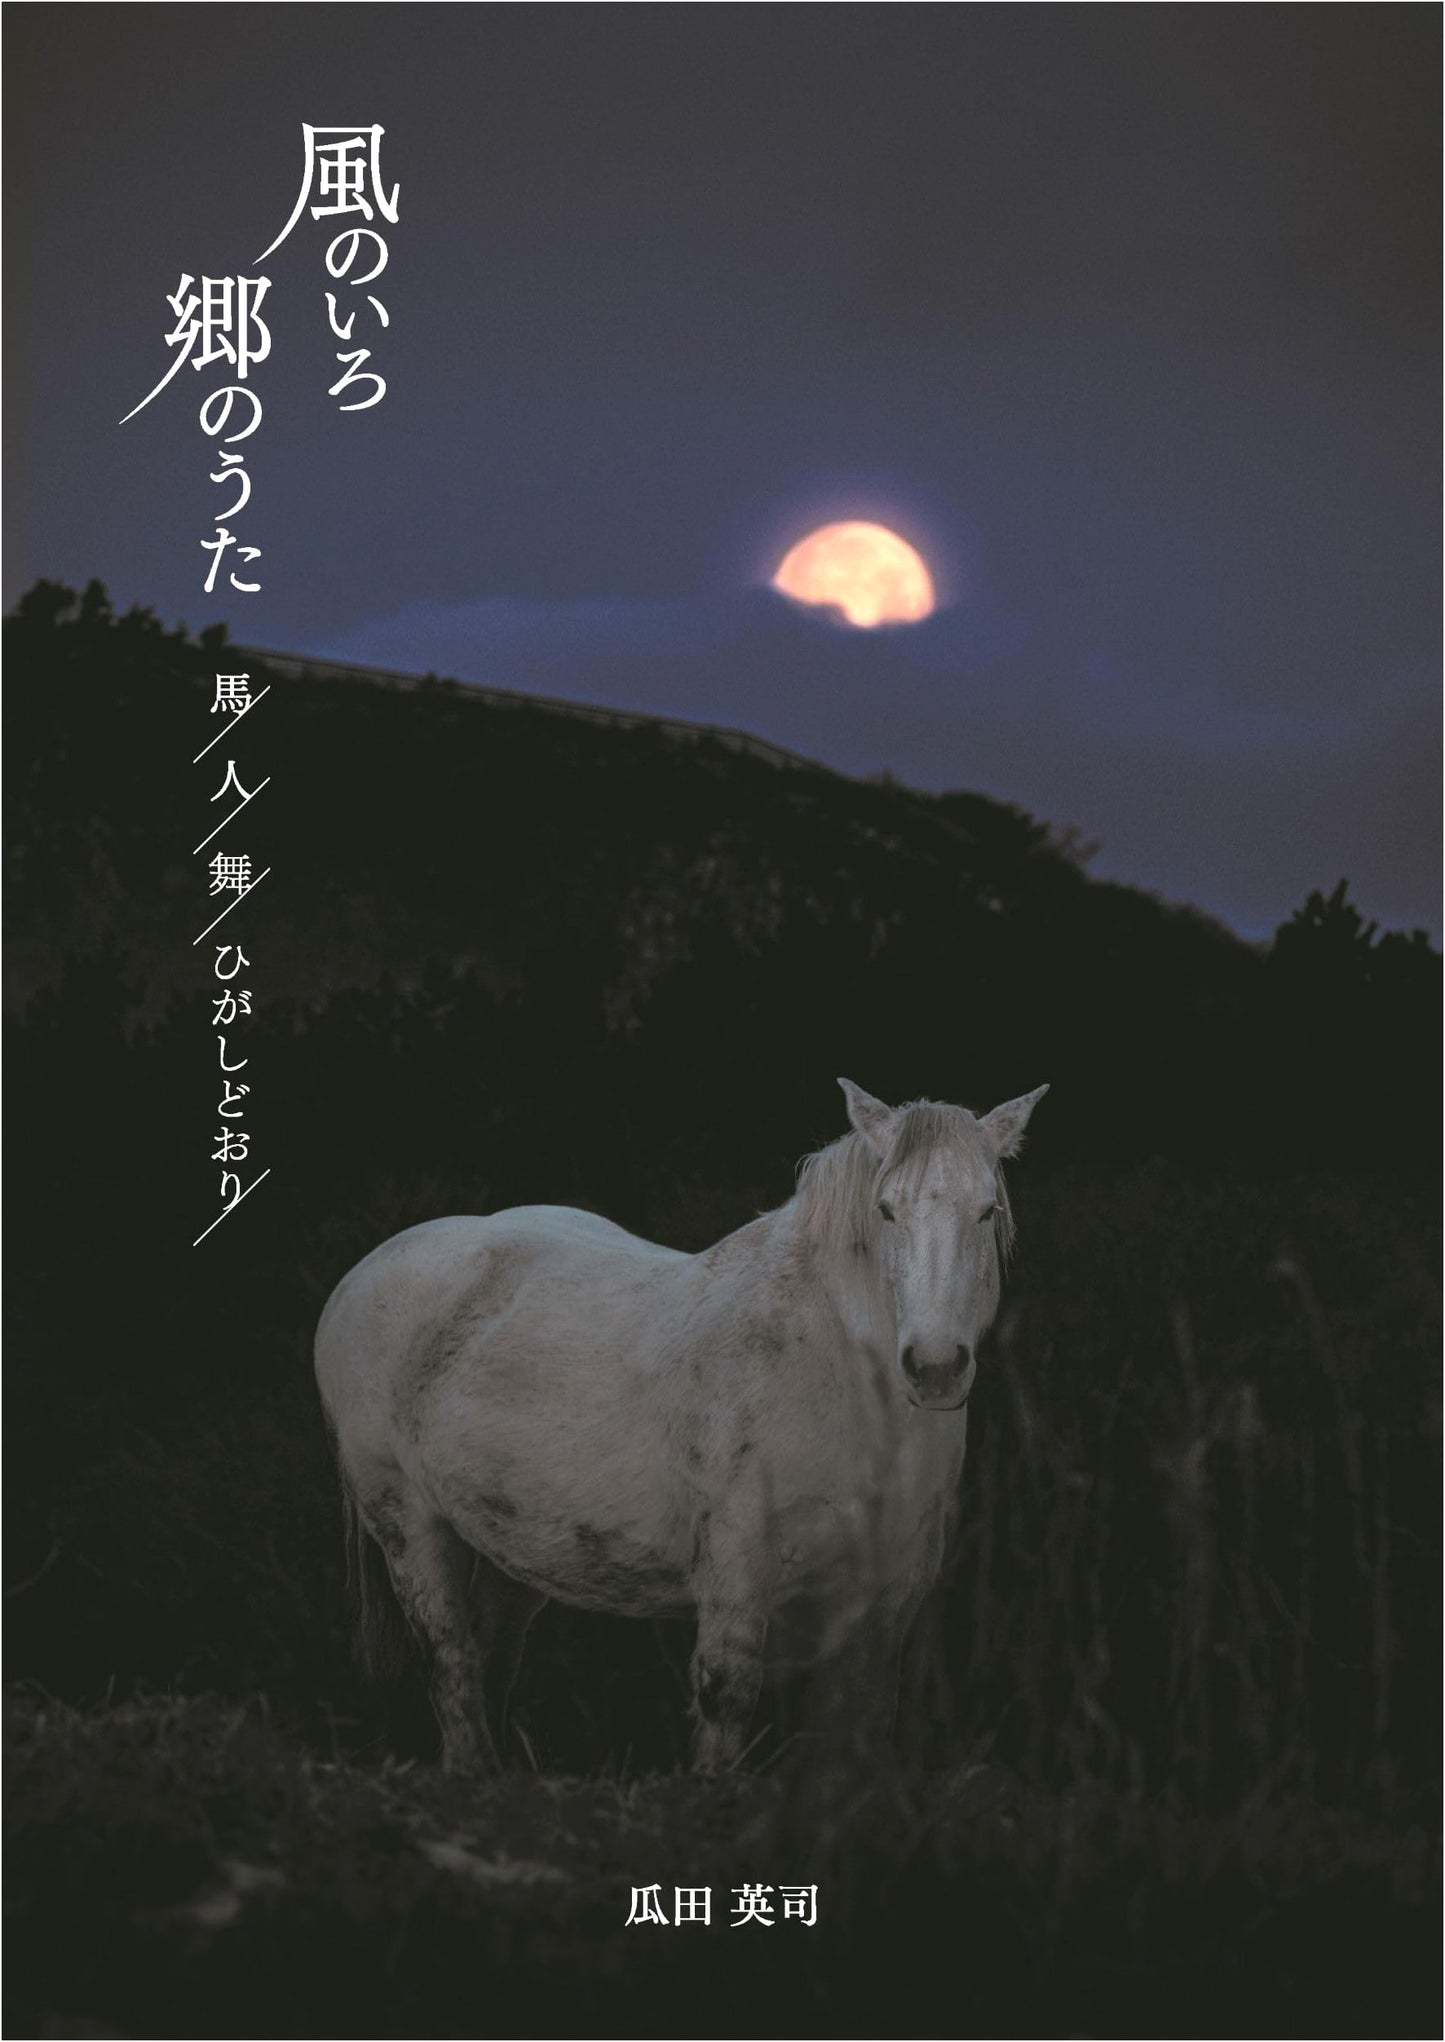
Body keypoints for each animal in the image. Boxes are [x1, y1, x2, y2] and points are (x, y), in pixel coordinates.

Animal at [314, 1076, 1048, 1772]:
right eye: (886, 1209)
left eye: (987, 1211)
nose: (935, 1367)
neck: (840, 1381)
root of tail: (359, 1277)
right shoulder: (736, 1572)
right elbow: (726, 1694)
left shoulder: (885, 1601)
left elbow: (856, 1729)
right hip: (408, 1525)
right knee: (450, 1658)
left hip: (508, 1546)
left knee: (490, 1658)